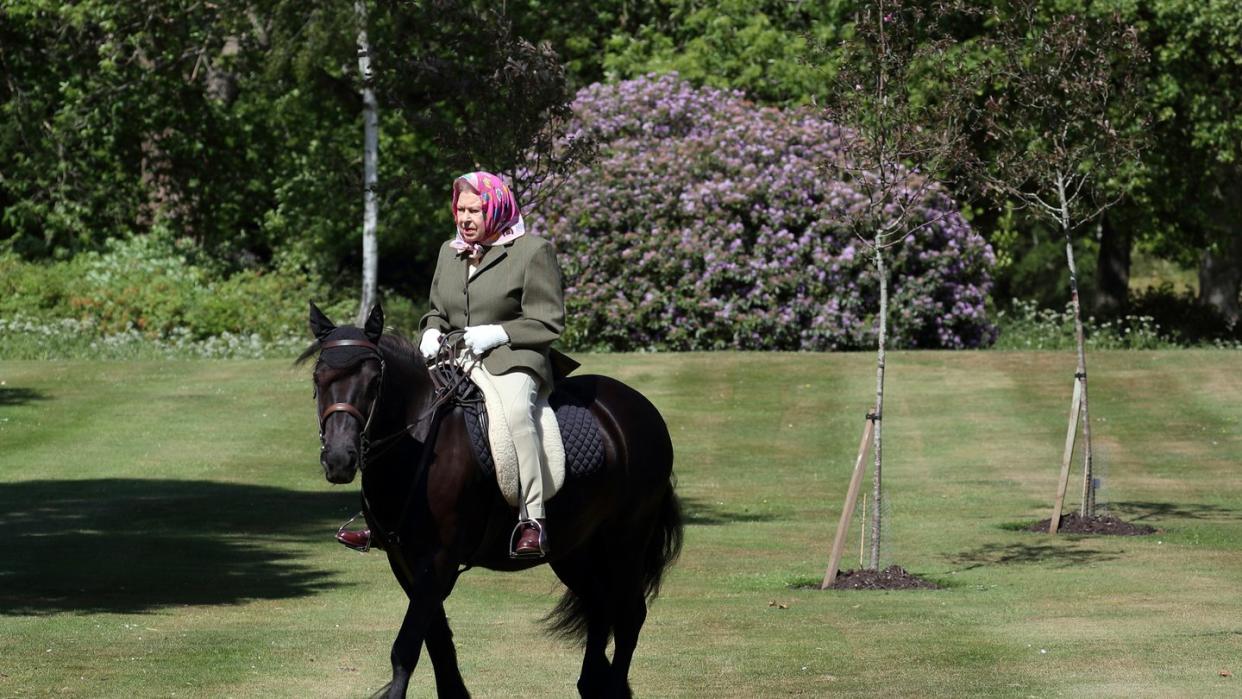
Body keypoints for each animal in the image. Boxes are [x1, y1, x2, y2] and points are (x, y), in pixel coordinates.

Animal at [304, 305, 685, 699]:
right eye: (318, 378)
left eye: (374, 380)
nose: (339, 459)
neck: (419, 442)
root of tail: (639, 408)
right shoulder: (404, 560)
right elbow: (436, 639)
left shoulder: (439, 559)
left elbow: (407, 646)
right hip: (573, 548)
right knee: (599, 604)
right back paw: (591, 682)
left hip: (626, 540)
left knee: (628, 615)